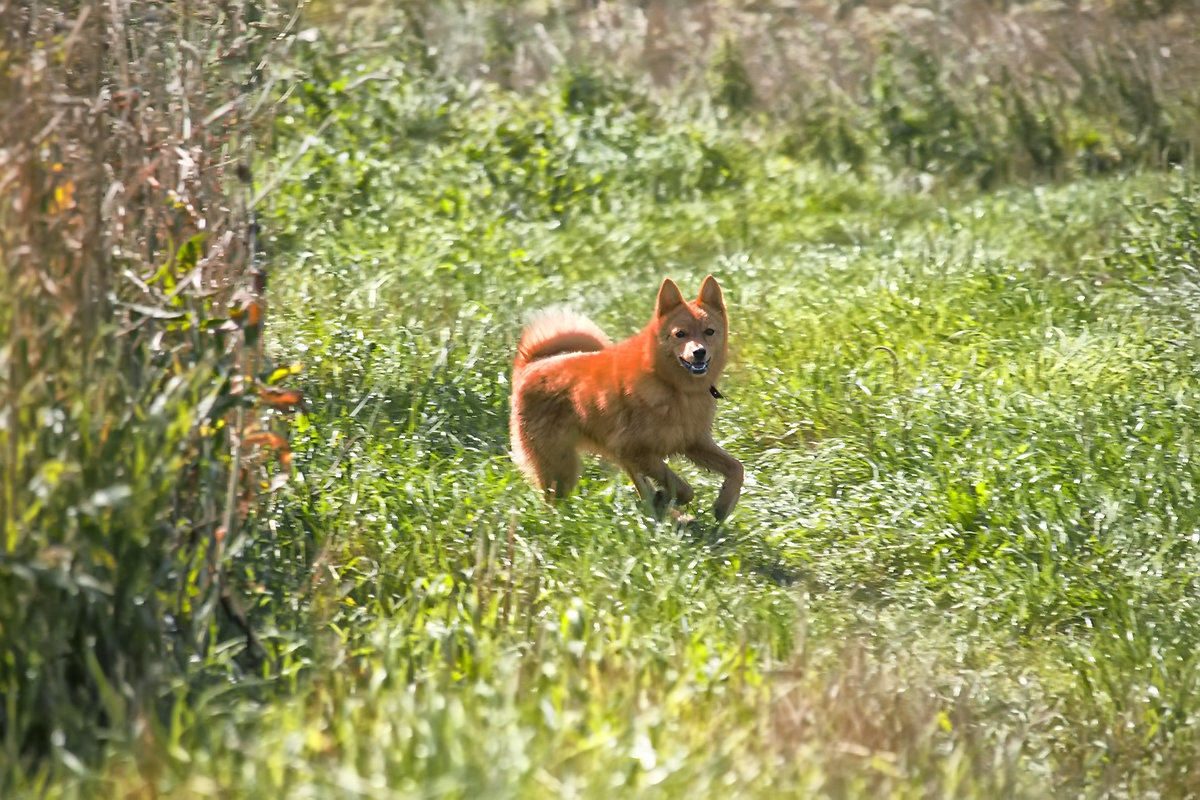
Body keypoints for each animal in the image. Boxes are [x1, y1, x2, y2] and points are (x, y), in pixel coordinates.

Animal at [506, 278, 739, 522]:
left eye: (709, 331)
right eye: (680, 334)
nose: (699, 352)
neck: (672, 386)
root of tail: (529, 365)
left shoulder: (693, 443)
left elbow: (736, 468)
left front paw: (724, 504)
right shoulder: (637, 451)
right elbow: (684, 488)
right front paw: (668, 498)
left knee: (643, 493)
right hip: (562, 469)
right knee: (554, 504)